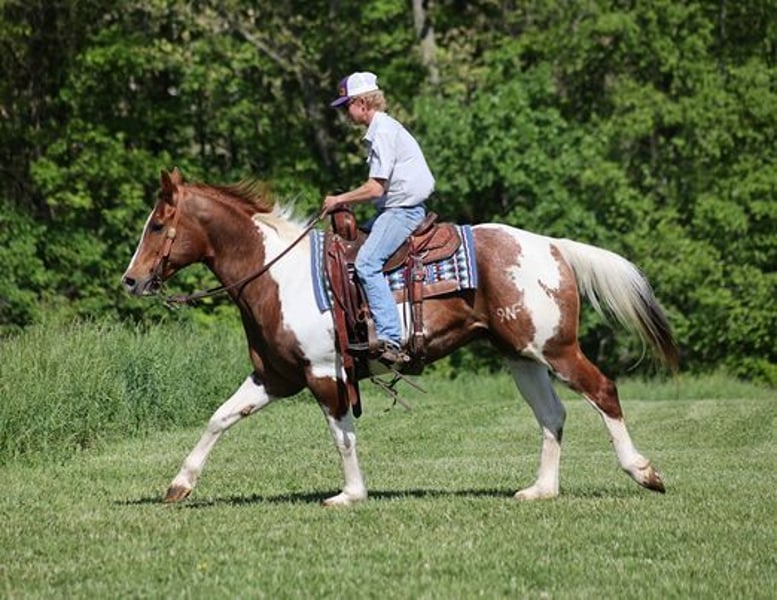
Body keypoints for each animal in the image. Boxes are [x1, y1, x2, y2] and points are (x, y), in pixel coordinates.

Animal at [122, 168, 678, 506]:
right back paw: (540, 489)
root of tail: (553, 245)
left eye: (158, 225)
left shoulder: (324, 371)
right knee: (552, 415)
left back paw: (644, 472)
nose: (131, 280)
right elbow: (220, 418)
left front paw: (350, 494)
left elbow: (342, 434)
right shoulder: (274, 376)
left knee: (602, 392)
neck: (277, 274)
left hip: (555, 349)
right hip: (521, 355)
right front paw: (179, 485)